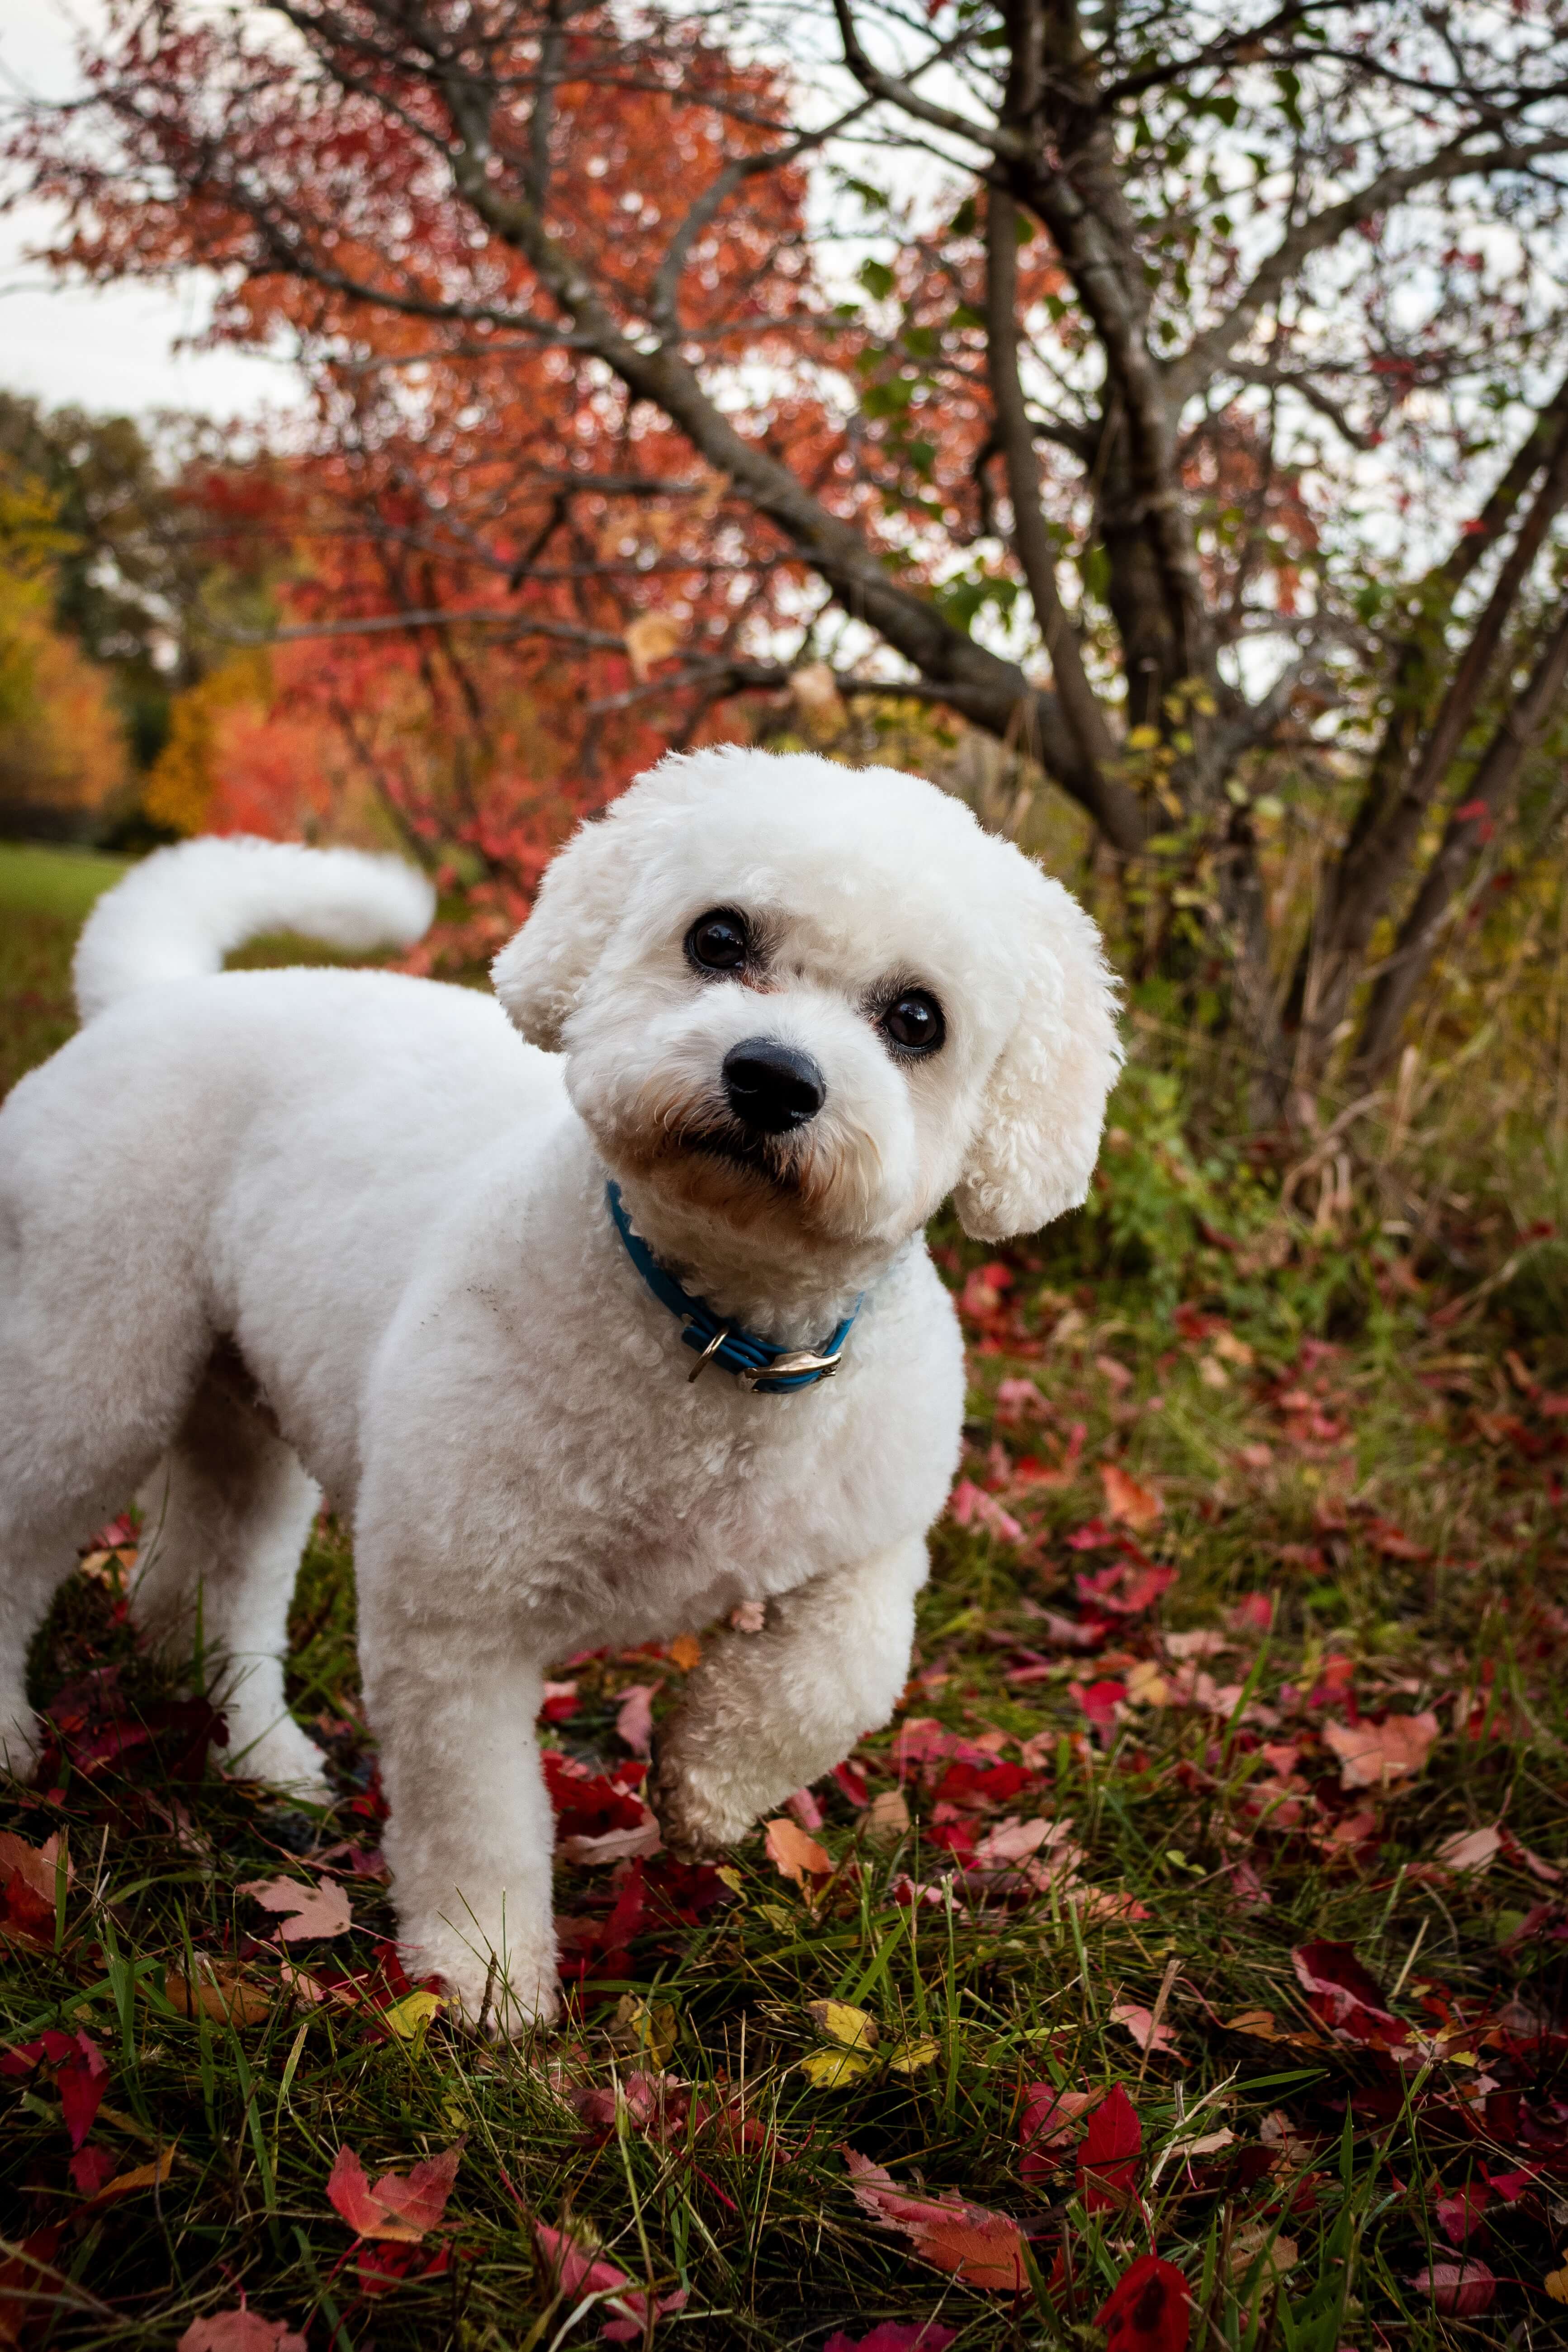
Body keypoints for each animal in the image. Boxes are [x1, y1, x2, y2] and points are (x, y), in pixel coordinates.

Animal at [0, 748, 1114, 2022]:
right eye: (717, 936)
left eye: (916, 1019)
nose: (772, 1078)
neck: (712, 1335)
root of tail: (149, 996)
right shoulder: (457, 1622)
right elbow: (477, 1818)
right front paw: (484, 1978)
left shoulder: (870, 1543)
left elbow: (840, 1677)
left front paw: (708, 1783)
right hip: (91, 1368)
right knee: (28, 1535)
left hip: (241, 1415)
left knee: (200, 1587)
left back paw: (260, 1756)